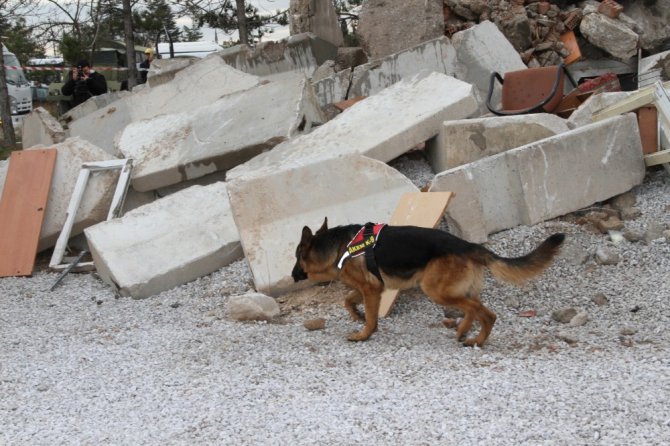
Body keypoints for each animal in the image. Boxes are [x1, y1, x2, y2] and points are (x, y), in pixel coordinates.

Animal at [294, 218, 568, 346]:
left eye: (297, 257)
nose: (293, 275)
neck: (338, 246)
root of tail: (469, 246)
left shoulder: (371, 289)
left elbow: (370, 316)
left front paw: (364, 334)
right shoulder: (371, 287)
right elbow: (348, 299)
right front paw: (357, 315)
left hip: (435, 290)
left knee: (486, 314)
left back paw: (477, 341)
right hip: (460, 290)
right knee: (473, 309)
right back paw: (463, 331)